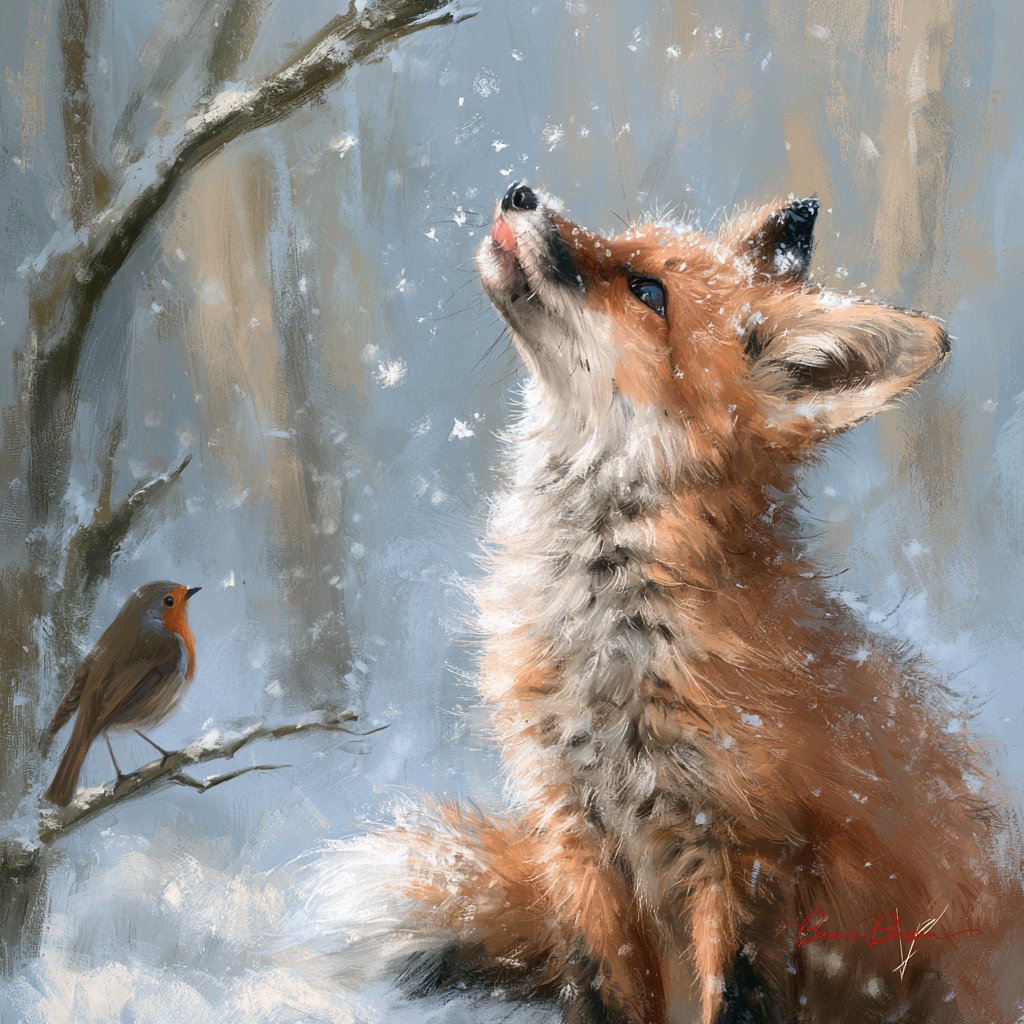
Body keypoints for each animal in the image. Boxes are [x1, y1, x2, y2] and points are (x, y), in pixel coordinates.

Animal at [304, 182, 1024, 1023]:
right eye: (621, 238)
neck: (610, 653)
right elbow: (604, 996)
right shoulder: (577, 841)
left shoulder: (744, 857)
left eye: (648, 292)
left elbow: (737, 1001)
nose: (520, 193)